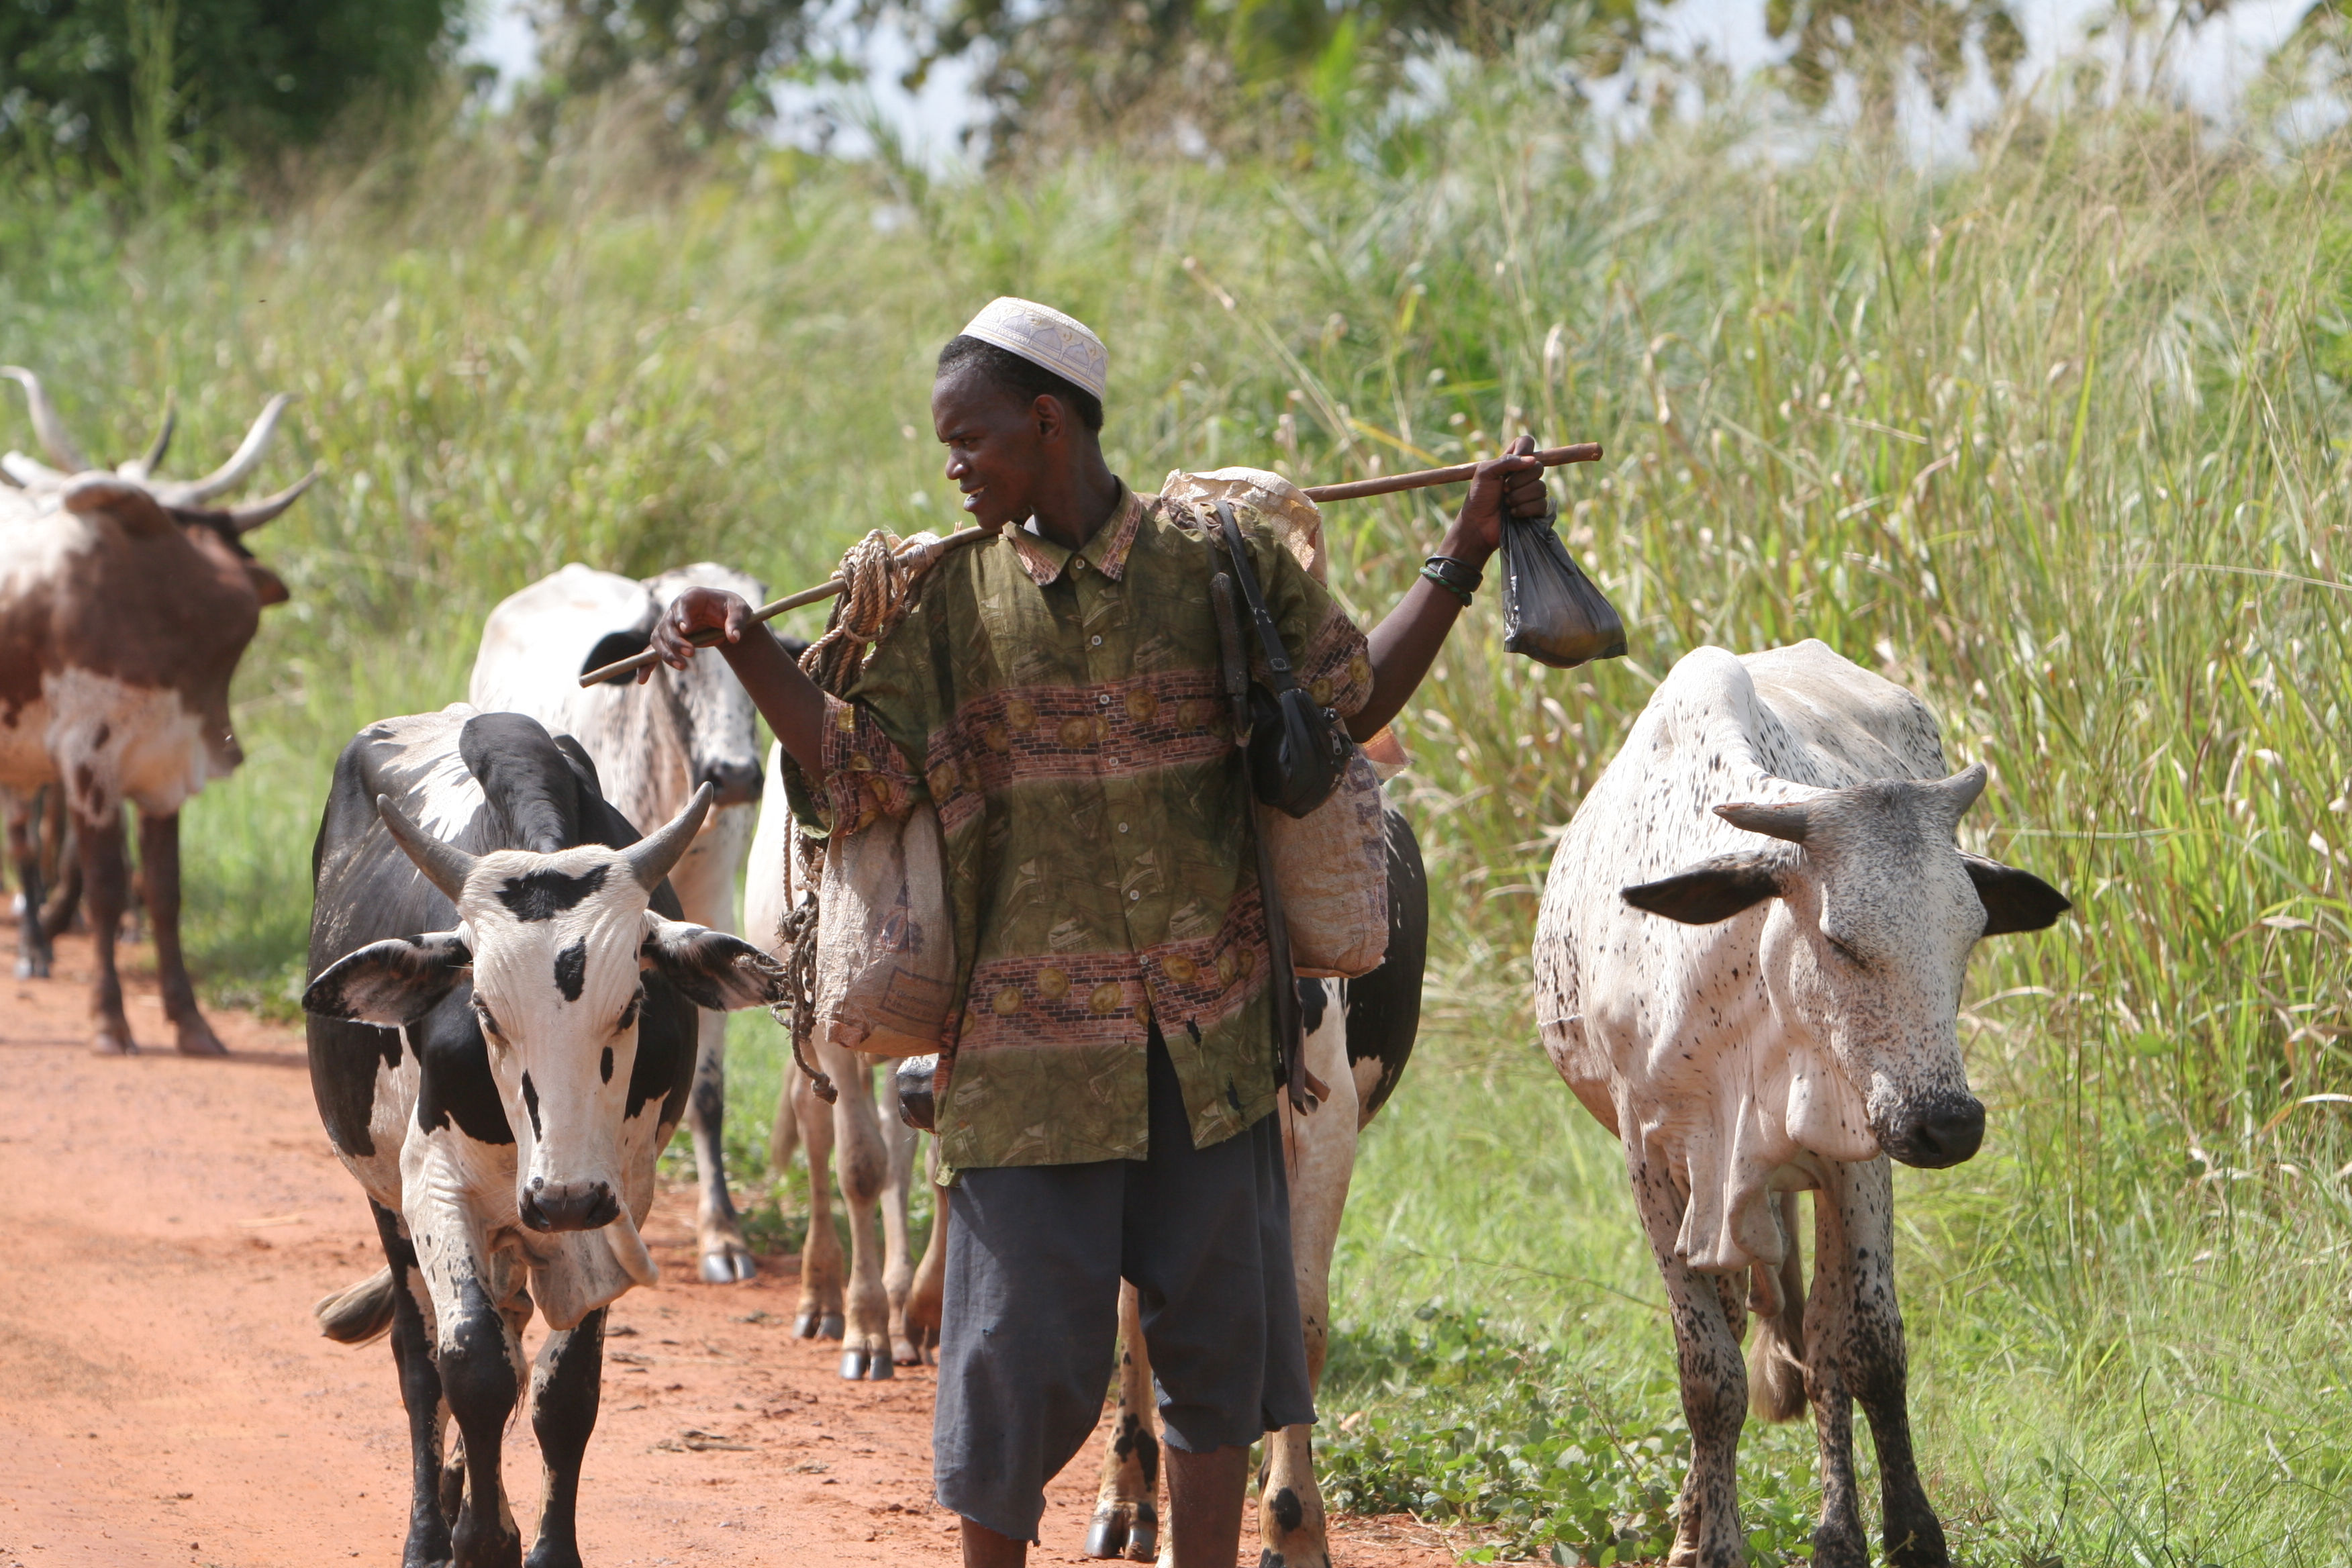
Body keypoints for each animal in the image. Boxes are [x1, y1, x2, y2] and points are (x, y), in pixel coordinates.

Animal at [0, 369, 312, 1046]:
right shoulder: (87, 761)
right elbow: (105, 886)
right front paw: (110, 1020)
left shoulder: (166, 765)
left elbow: (165, 891)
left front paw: (191, 1020)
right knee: (25, 844)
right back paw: (35, 946)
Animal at [300, 707, 787, 1568]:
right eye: (486, 1011)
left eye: (631, 1005)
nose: (561, 1196)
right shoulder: (434, 1183)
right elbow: (471, 1365)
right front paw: (479, 1539)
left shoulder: (616, 1197)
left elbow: (565, 1391)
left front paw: (539, 1544)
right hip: (388, 1201)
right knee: (422, 1358)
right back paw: (431, 1529)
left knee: (513, 1331)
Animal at [1530, 640, 2070, 1568]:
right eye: (1840, 938)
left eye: (1967, 936)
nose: (1951, 1123)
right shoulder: (1655, 1161)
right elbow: (1709, 1373)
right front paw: (1716, 1542)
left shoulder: (1862, 1149)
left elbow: (1865, 1343)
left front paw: (1895, 1534)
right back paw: (1690, 1522)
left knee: (1820, 1338)